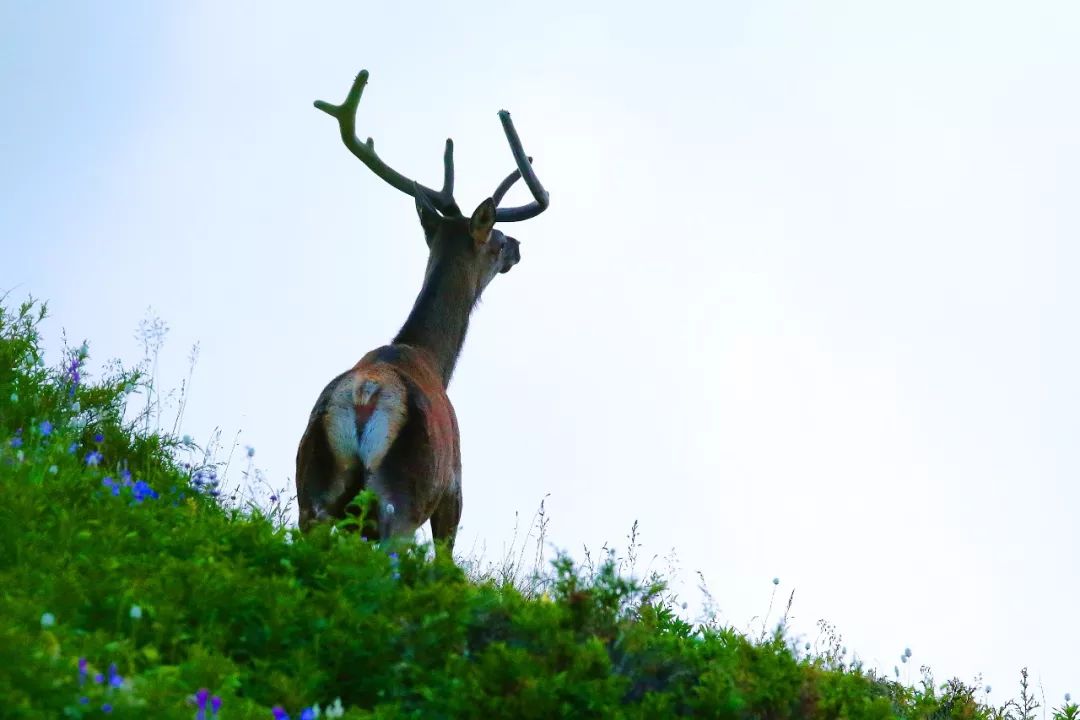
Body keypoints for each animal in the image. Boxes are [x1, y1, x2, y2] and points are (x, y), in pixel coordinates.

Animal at [295, 69, 548, 561]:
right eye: (494, 241)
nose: (516, 246)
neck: (432, 360)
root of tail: (366, 396)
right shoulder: (454, 490)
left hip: (311, 489)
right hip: (403, 497)